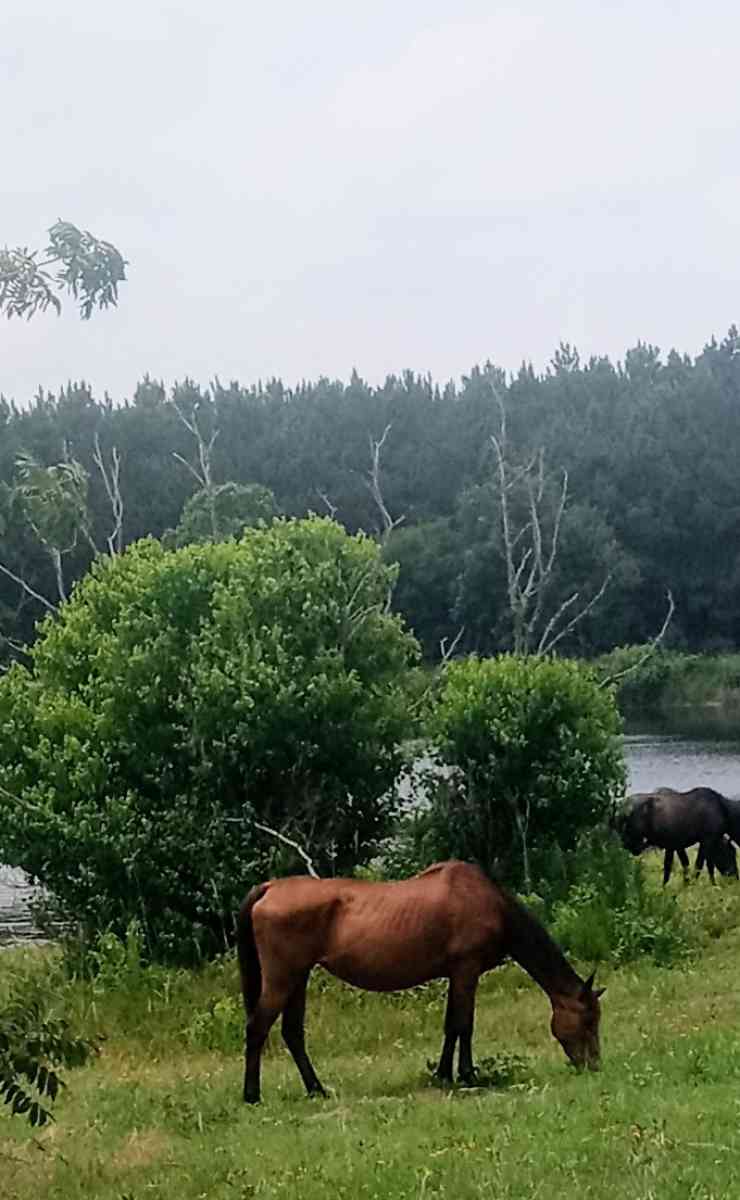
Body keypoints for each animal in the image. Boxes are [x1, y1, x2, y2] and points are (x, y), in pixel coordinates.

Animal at [236, 860, 605, 1104]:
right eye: (588, 1020)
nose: (594, 1066)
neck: (489, 903)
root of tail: (269, 888)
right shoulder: (466, 970)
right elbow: (464, 1024)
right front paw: (468, 1075)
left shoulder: (455, 974)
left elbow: (450, 1026)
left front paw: (443, 1074)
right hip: (282, 979)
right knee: (257, 1028)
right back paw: (252, 1095)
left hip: (298, 978)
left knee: (292, 1033)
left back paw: (317, 1089)